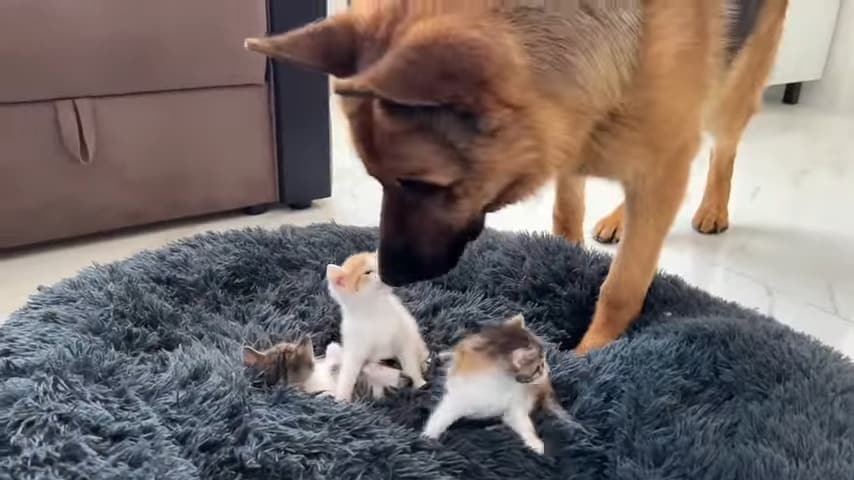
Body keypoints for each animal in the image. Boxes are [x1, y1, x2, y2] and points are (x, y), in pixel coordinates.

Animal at [246, 0, 788, 352]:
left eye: (423, 185)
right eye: (377, 178)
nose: (390, 276)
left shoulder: (661, 164)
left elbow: (622, 286)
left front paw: (591, 353)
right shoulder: (570, 137)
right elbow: (566, 211)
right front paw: (564, 261)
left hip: (728, 96)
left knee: (723, 147)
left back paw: (712, 206)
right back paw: (617, 216)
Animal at [330, 251, 434, 402]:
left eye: (380, 264)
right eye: (367, 272)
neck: (374, 311)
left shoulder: (403, 336)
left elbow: (410, 363)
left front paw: (419, 383)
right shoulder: (354, 346)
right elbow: (348, 372)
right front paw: (341, 398)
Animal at [422, 316, 572, 454]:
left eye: (544, 362)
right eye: (539, 367)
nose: (548, 370)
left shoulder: (517, 398)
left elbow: (519, 419)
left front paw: (534, 441)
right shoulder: (459, 395)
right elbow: (444, 414)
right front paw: (428, 437)